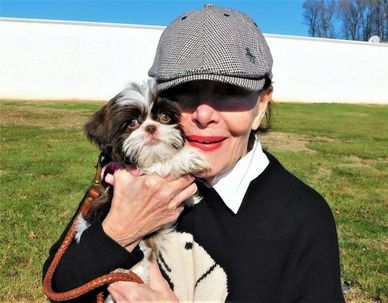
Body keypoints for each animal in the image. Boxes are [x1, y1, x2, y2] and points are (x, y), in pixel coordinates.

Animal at [76, 78, 209, 288]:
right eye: (131, 123)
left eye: (164, 117)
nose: (151, 127)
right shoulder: (139, 172)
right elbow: (160, 165)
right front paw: (187, 157)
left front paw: (190, 198)